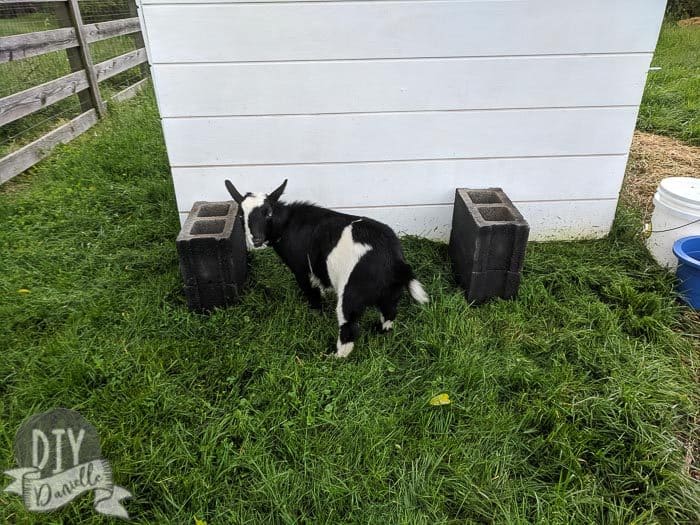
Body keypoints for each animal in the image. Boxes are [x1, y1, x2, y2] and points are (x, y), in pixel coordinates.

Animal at [227, 179, 430, 356]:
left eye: (268, 213)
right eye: (241, 215)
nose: (256, 239)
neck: (286, 224)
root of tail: (395, 261)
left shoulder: (302, 269)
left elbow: (312, 292)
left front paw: (316, 313)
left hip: (351, 293)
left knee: (349, 326)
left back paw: (334, 356)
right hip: (391, 292)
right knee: (389, 312)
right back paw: (380, 331)